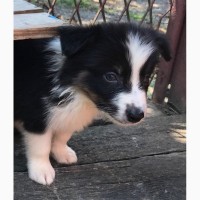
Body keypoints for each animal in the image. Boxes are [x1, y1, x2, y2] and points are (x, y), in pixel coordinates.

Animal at [14, 22, 170, 185]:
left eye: (146, 78)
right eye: (110, 76)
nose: (136, 115)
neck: (78, 92)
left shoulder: (71, 114)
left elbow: (63, 135)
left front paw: (62, 152)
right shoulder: (36, 114)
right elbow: (41, 145)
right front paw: (42, 170)